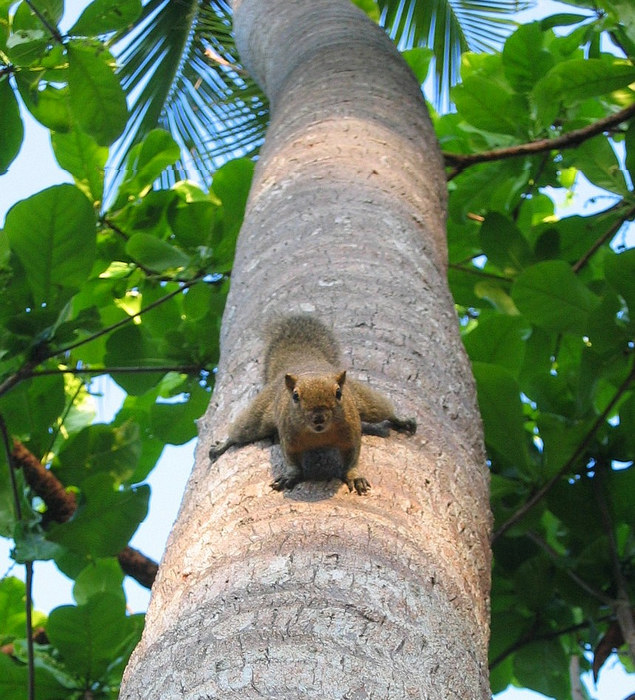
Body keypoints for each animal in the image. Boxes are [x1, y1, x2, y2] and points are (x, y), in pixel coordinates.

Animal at [209, 314, 418, 494]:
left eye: (339, 393)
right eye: (295, 396)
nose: (318, 417)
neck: (319, 435)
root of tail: (304, 362)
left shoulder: (352, 431)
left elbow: (352, 458)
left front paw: (355, 476)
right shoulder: (288, 436)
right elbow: (291, 461)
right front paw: (290, 476)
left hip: (366, 403)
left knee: (382, 410)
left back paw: (402, 420)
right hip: (258, 416)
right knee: (241, 431)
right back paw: (223, 445)